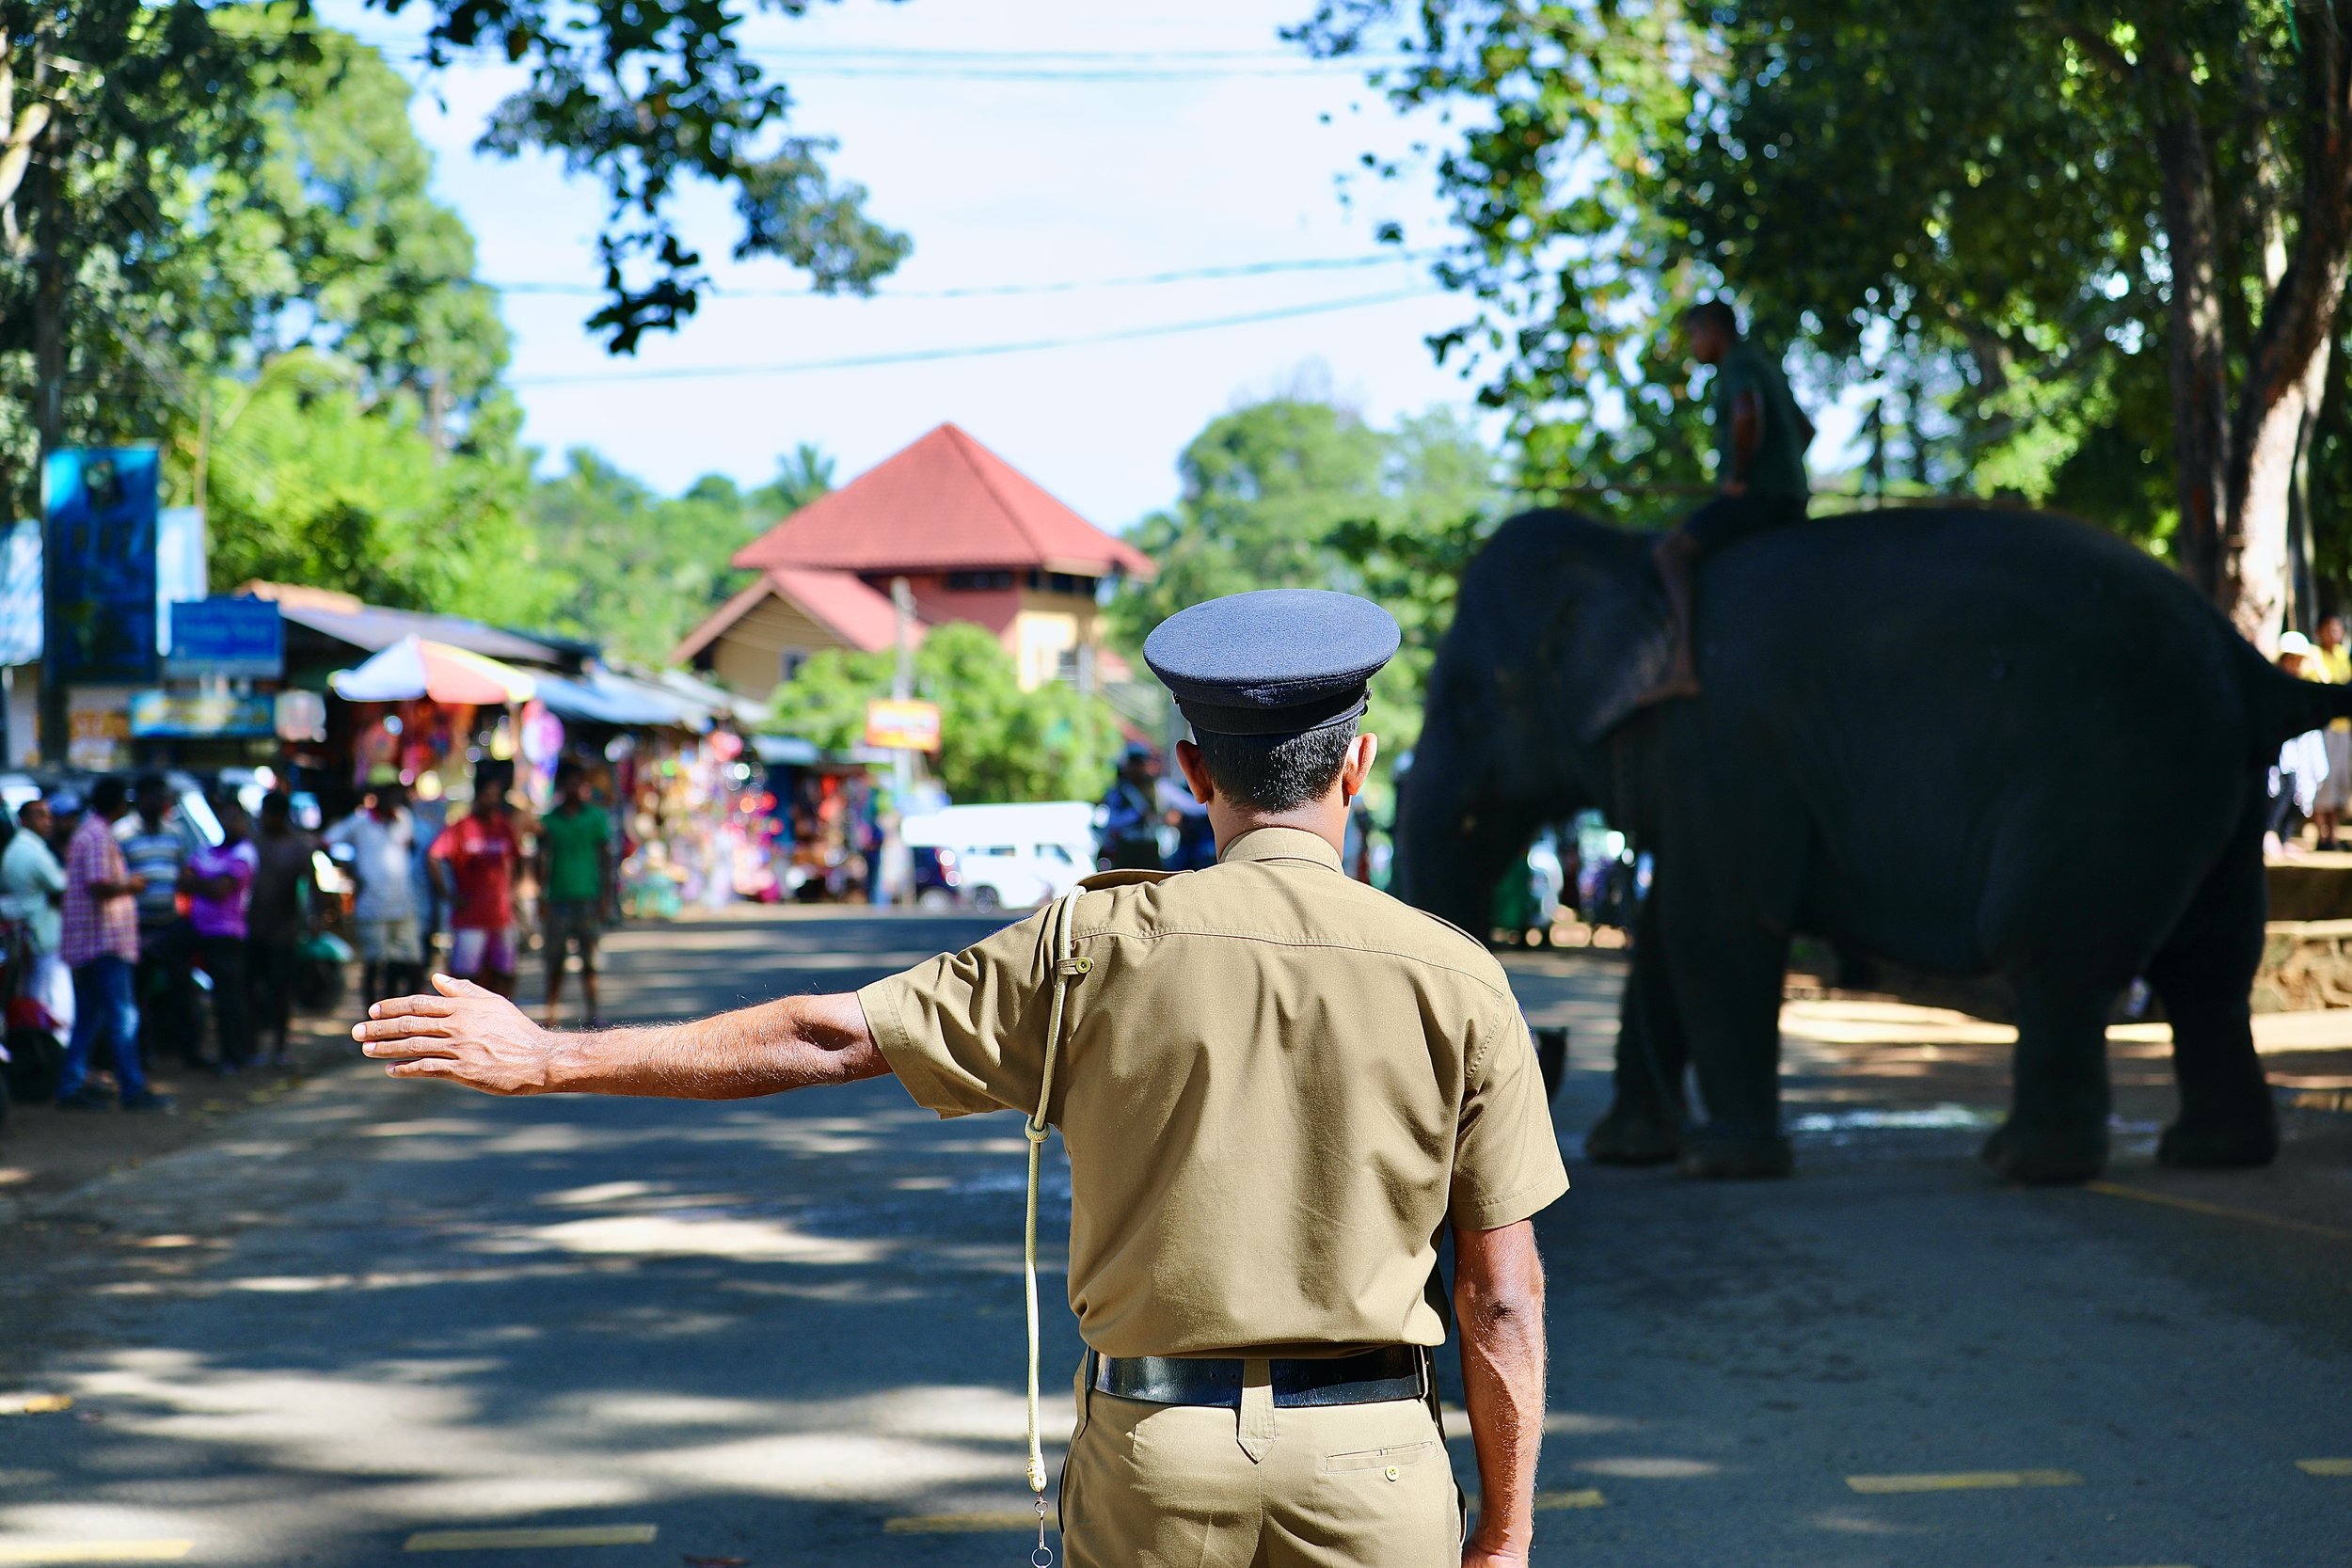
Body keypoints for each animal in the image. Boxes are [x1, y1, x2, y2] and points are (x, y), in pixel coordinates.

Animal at [1383, 510, 2343, 1184]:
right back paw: (2208, 1153)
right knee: (2212, 965)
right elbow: (1663, 935)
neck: (1629, 552)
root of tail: (2250, 663)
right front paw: (1633, 1151)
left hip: (2113, 781)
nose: (1541, 1054)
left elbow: (1714, 928)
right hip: (2209, 794)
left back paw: (2024, 1165)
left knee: (2059, 952)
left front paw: (1720, 1164)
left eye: (1465, 697)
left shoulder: (1725, 749)